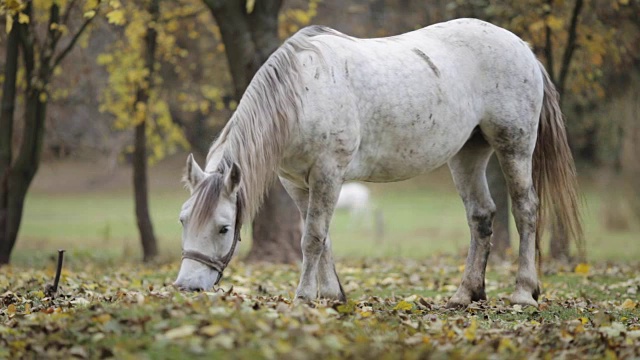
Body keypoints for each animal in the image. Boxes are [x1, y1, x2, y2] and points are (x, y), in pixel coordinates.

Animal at [172, 18, 584, 308]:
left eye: (224, 228)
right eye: (183, 221)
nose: (188, 286)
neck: (304, 92)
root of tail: (522, 47)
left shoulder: (328, 173)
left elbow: (312, 238)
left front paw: (304, 297)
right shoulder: (297, 182)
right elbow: (323, 238)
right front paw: (332, 296)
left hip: (514, 145)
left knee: (526, 210)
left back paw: (523, 293)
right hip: (468, 153)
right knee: (481, 217)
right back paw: (465, 295)